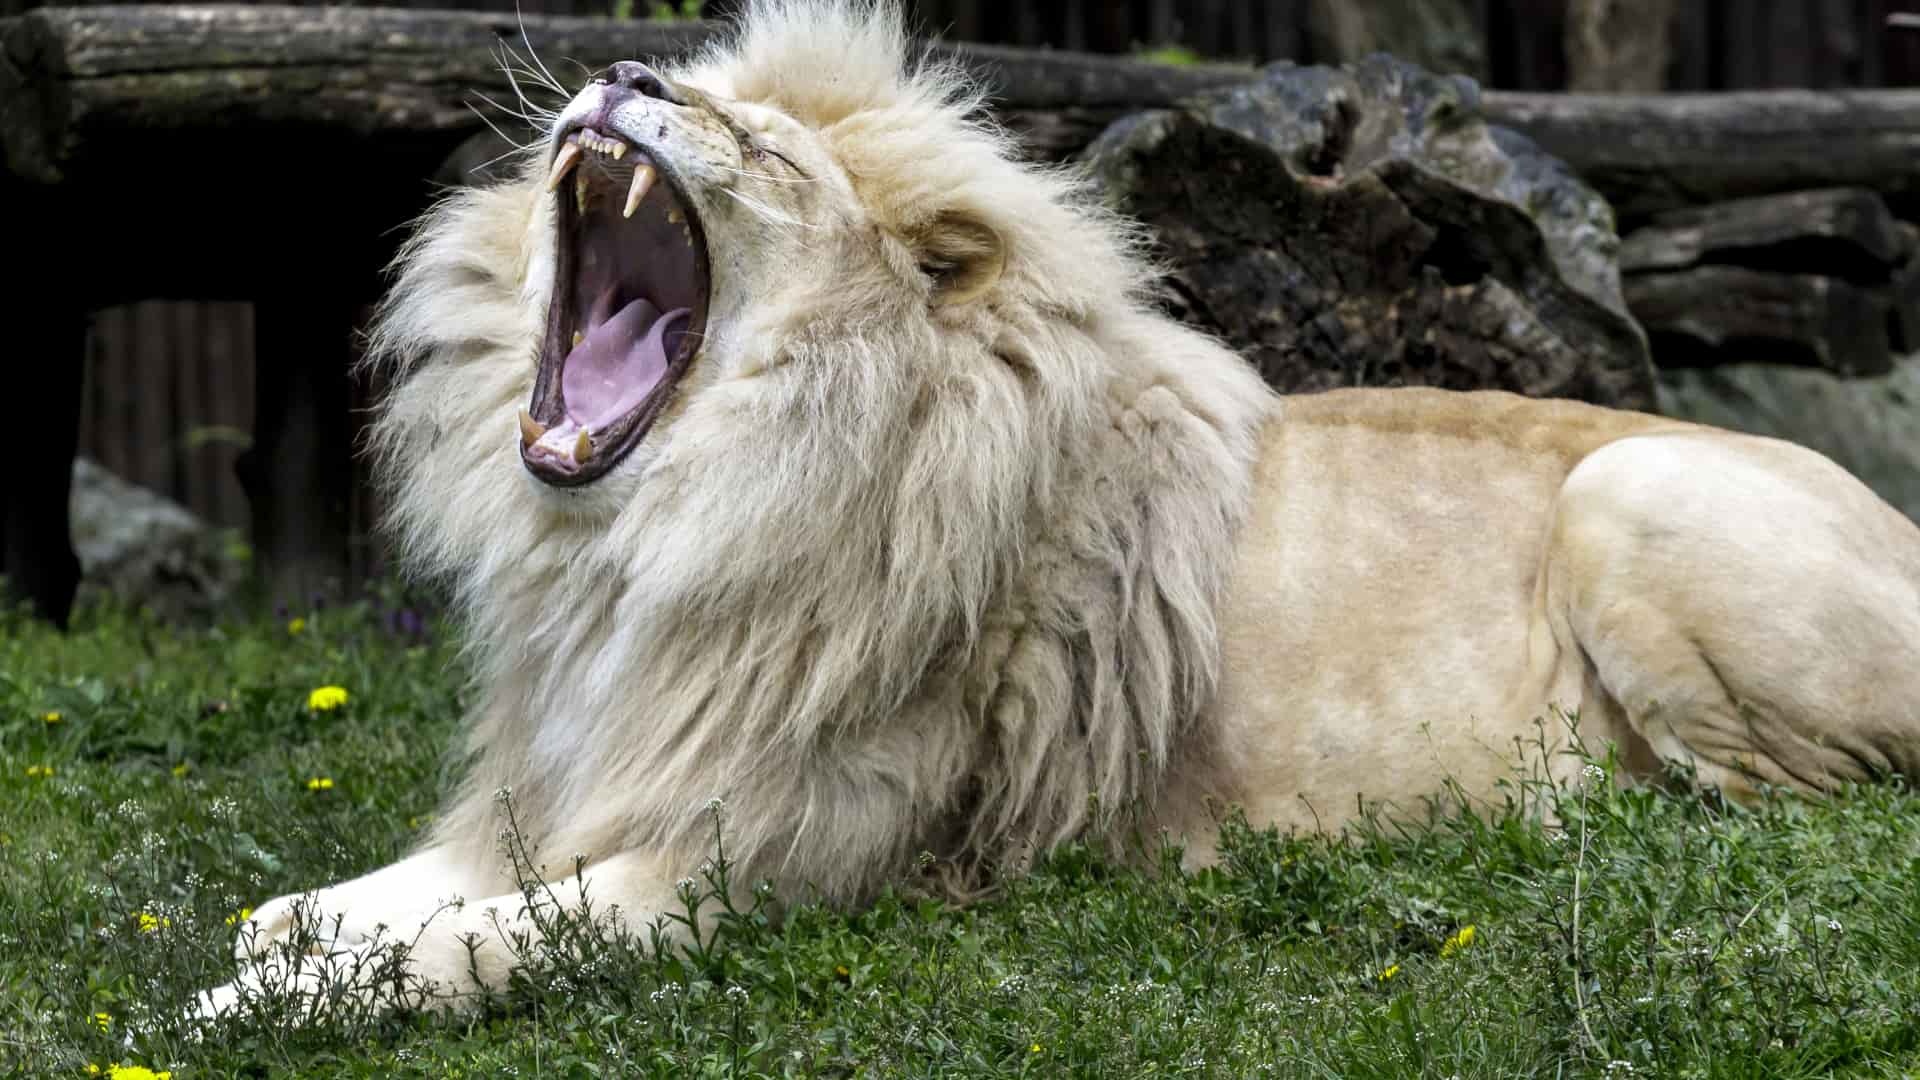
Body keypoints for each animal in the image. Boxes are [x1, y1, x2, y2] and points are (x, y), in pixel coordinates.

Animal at [191, 0, 1920, 1014]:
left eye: (755, 143)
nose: (619, 72)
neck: (642, 544)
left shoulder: (759, 869)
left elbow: (469, 942)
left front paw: (255, 1009)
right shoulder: (566, 786)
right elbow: (329, 901)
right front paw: (285, 937)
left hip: (1638, 489)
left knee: (1797, 803)